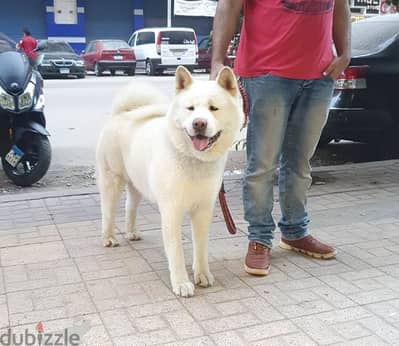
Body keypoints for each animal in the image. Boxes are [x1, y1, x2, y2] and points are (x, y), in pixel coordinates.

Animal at [96, 65, 244, 298]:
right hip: (112, 181)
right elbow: (176, 253)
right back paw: (109, 238)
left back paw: (131, 232)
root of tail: (122, 113)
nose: (199, 123)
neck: (194, 161)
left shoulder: (203, 211)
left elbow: (201, 248)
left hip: (136, 185)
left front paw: (202, 275)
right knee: (107, 212)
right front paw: (182, 283)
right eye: (190, 108)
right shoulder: (172, 212)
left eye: (213, 108)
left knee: (130, 208)